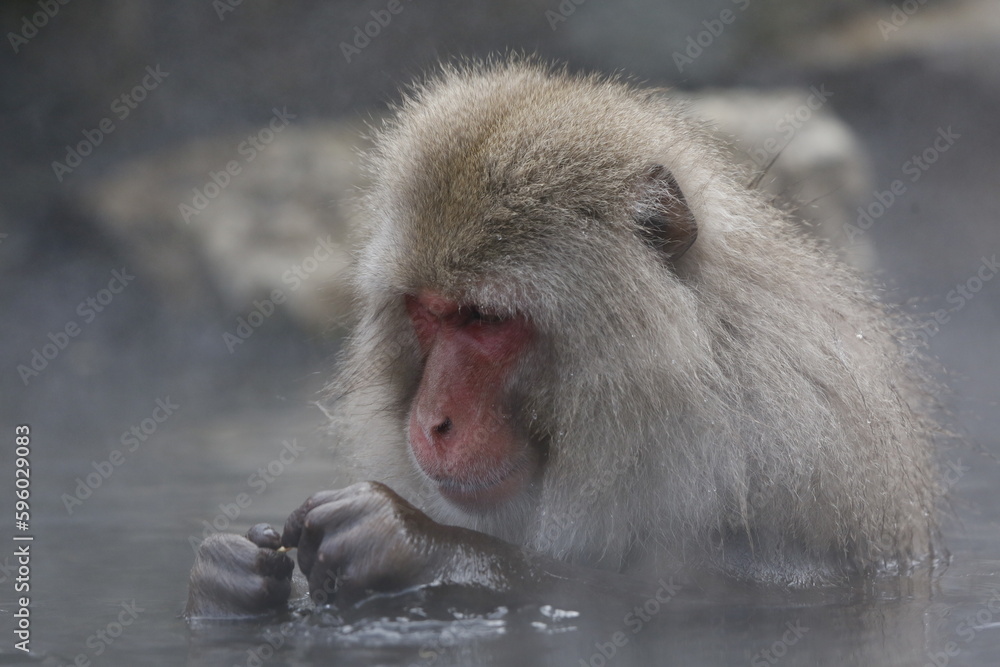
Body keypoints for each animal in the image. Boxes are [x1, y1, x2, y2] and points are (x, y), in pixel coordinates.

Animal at [186, 58, 943, 618]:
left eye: (485, 318)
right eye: (430, 311)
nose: (431, 421)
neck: (695, 403)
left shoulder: (796, 459)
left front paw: (418, 544)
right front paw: (229, 577)